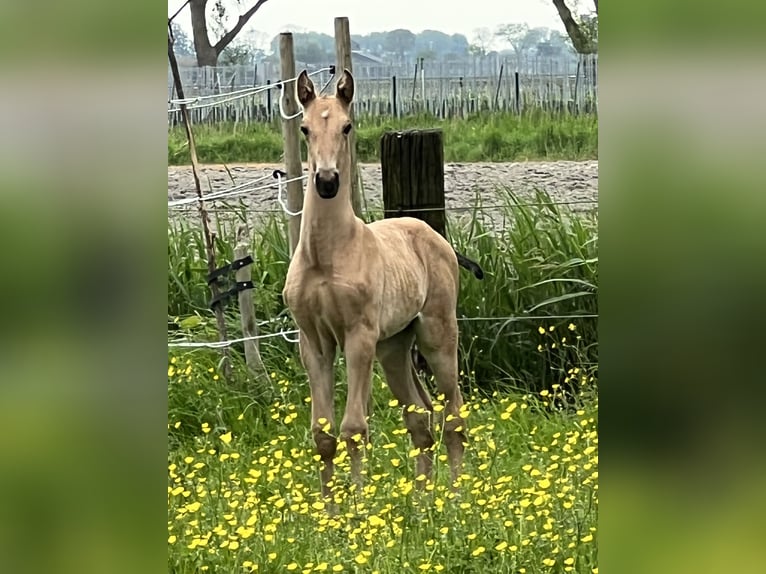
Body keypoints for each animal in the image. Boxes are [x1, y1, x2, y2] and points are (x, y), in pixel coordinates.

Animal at [284, 68, 484, 500]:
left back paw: (457, 498)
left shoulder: (358, 336)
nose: (327, 181)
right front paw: (329, 512)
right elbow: (323, 435)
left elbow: (354, 429)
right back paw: (422, 501)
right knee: (421, 418)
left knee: (453, 415)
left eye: (347, 126)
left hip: (437, 336)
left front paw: (359, 509)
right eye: (305, 128)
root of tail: (434, 236)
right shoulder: (314, 343)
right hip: (394, 347)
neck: (326, 257)